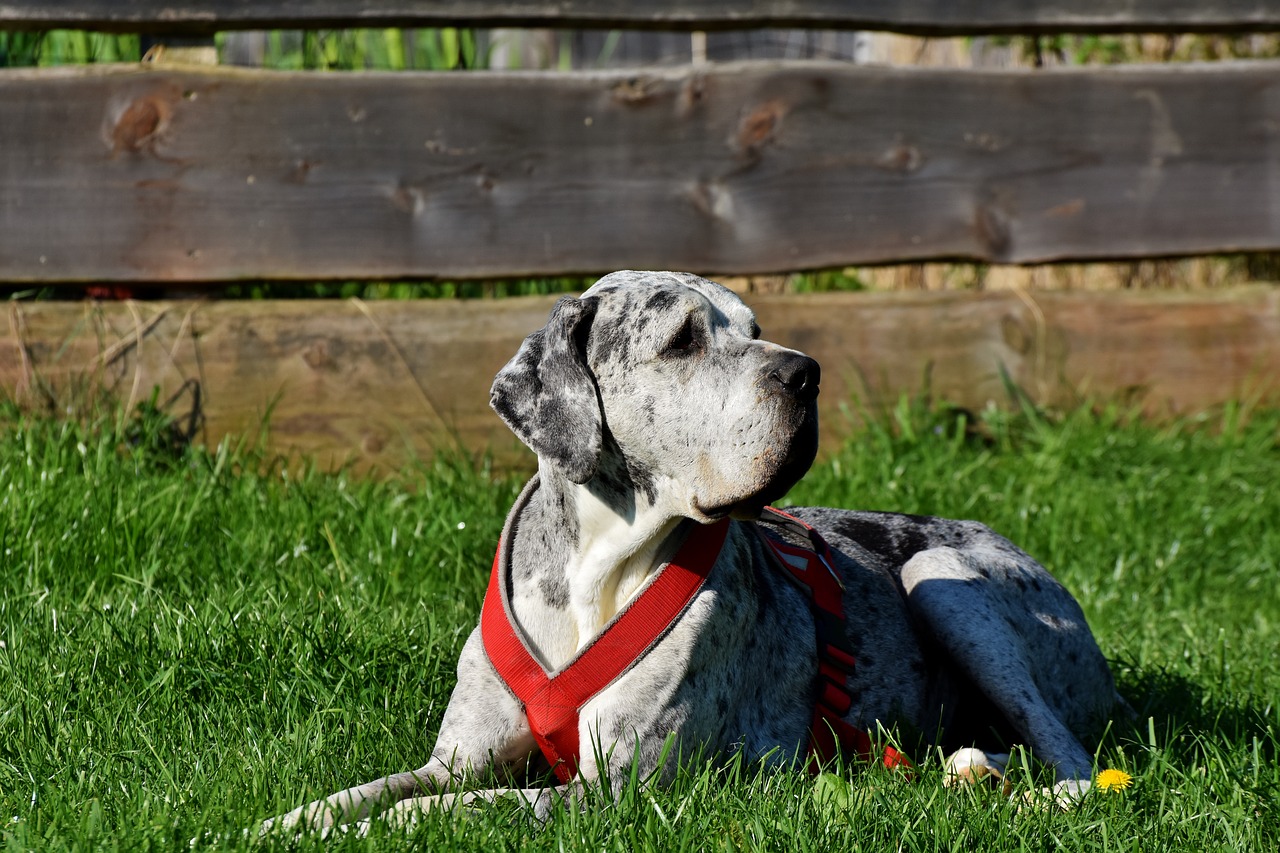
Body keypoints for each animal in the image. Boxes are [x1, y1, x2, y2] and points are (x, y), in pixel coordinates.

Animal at [264, 267, 1116, 829]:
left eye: (754, 328)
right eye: (682, 340)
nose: (807, 373)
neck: (596, 566)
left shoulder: (609, 792)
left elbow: (455, 808)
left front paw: (375, 830)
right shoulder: (455, 755)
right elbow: (381, 788)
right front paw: (294, 818)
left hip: (940, 574)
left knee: (1072, 755)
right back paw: (973, 768)